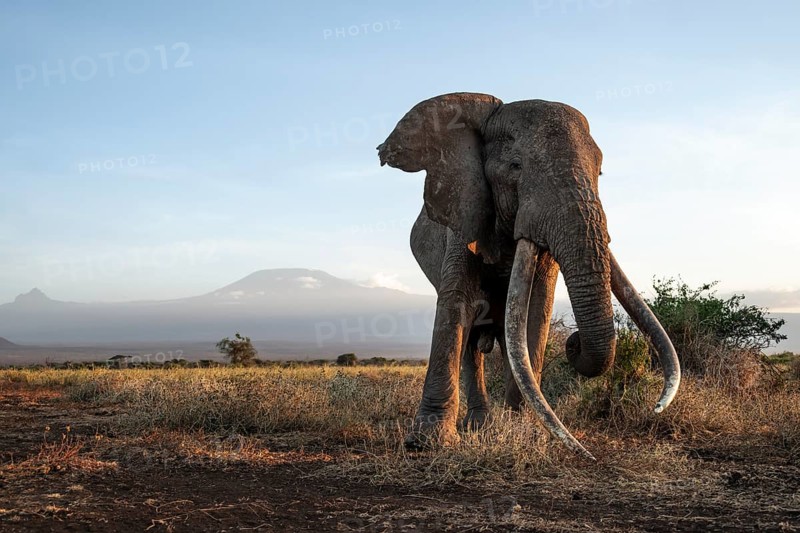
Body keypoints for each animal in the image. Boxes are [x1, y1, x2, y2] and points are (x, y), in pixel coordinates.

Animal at [377, 93, 681, 459]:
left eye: (600, 171)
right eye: (515, 167)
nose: (573, 342)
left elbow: (538, 307)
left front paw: (523, 431)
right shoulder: (464, 214)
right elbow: (458, 302)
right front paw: (427, 443)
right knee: (472, 341)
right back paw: (476, 427)